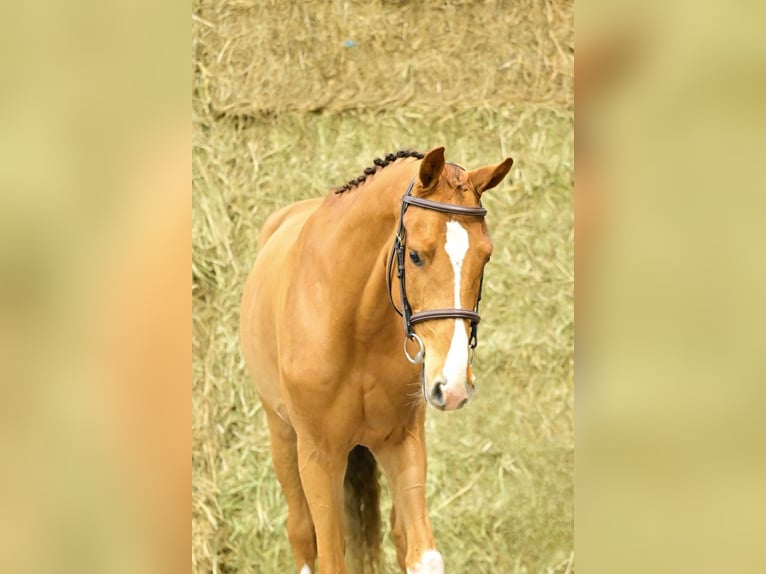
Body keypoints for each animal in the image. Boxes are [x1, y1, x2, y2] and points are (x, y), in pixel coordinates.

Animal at [239, 146, 513, 573]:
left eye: (485, 257)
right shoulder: (319, 456)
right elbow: (329, 557)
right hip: (281, 433)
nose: (452, 386)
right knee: (301, 532)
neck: (355, 323)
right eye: (415, 256)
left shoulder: (401, 442)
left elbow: (423, 557)